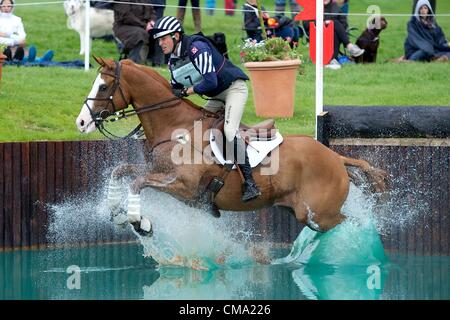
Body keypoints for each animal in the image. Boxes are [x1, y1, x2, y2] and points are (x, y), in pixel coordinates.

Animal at [75, 57, 384, 238]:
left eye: (103, 87)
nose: (81, 122)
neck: (175, 127)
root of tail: (335, 157)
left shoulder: (185, 186)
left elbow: (137, 182)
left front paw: (140, 223)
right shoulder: (158, 171)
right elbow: (120, 171)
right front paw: (116, 212)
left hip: (320, 214)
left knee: (351, 224)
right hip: (304, 212)